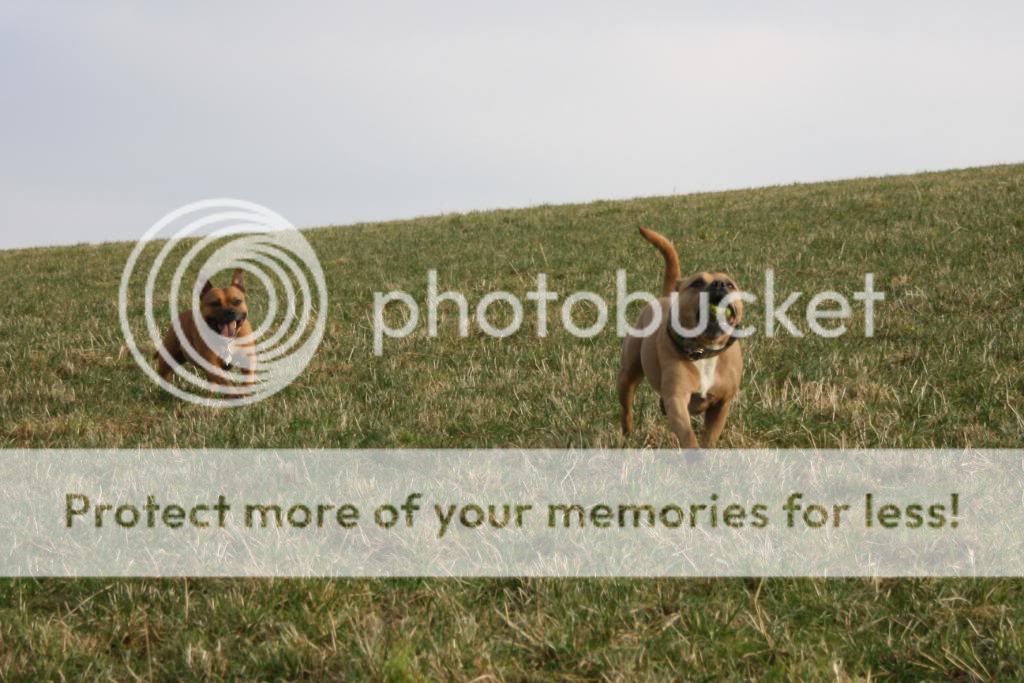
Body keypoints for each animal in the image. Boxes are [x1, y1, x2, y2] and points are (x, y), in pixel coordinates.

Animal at [614, 229, 745, 450]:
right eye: (697, 283)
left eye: (730, 284)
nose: (719, 284)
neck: (704, 350)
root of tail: (667, 296)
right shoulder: (676, 399)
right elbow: (688, 436)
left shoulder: (722, 404)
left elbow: (709, 437)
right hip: (628, 374)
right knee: (627, 408)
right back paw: (627, 435)